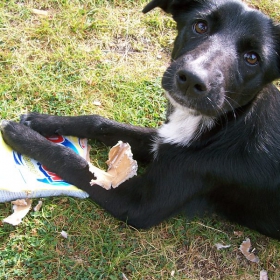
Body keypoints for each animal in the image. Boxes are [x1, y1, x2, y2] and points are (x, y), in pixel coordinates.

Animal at [1, 0, 280, 240]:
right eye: (200, 26)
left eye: (252, 58)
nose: (191, 79)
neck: (225, 125)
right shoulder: (163, 140)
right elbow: (98, 122)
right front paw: (40, 121)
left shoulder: (138, 204)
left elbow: (75, 163)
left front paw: (22, 136)